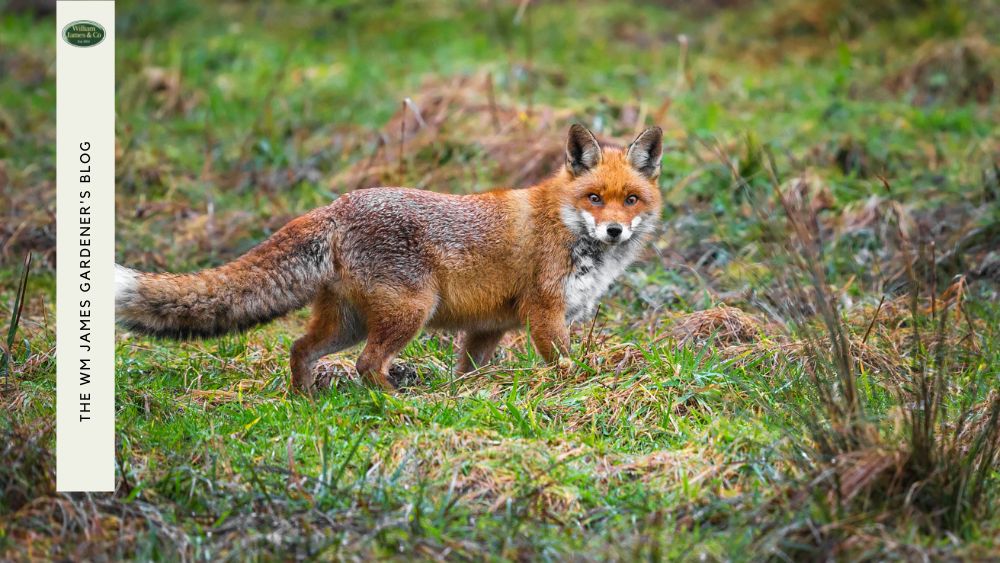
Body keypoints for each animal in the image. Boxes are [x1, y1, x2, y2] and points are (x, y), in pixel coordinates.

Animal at [115, 124, 664, 392]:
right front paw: (581, 388)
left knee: (300, 348)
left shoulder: (488, 327)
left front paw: (464, 399)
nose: (614, 229)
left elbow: (467, 372)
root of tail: (337, 205)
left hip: (350, 321)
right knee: (365, 364)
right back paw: (398, 406)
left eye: (630, 199)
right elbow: (567, 366)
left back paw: (305, 401)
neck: (567, 228)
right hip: (408, 314)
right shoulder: (544, 313)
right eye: (595, 198)